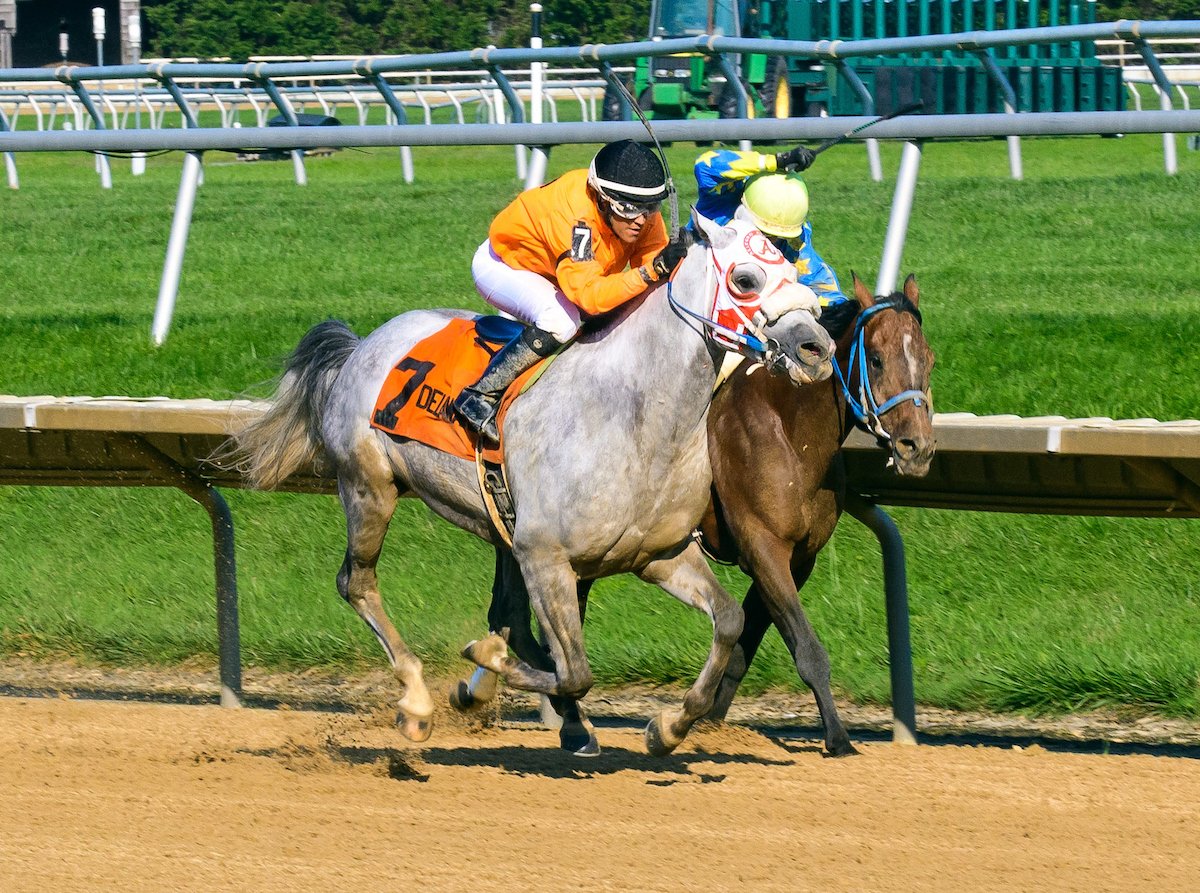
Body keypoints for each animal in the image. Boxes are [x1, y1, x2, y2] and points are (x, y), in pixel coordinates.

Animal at [234, 207, 835, 753]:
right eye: (745, 279)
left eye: (795, 269)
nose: (817, 349)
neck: (634, 417)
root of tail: (362, 344)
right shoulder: (545, 556)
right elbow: (575, 670)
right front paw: (486, 668)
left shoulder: (658, 554)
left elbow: (729, 621)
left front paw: (668, 727)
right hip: (369, 486)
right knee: (356, 583)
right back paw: (419, 700)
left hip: (497, 524)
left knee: (508, 617)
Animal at [453, 272, 931, 753]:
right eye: (876, 360)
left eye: (927, 359)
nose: (917, 447)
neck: (790, 432)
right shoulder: (763, 546)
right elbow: (806, 649)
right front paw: (838, 738)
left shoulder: (799, 558)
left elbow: (745, 644)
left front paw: (702, 719)